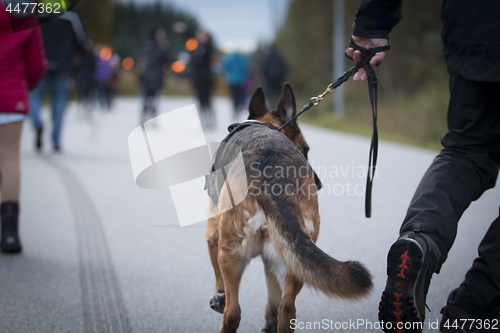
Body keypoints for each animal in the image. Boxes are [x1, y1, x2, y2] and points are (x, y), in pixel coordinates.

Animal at [205, 83, 374, 332]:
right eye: (305, 149)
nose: (319, 184)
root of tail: (273, 175)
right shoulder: (272, 261)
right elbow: (274, 301)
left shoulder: (213, 235)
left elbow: (219, 281)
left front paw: (219, 297)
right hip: (294, 262)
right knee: (286, 307)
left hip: (230, 253)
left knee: (233, 313)